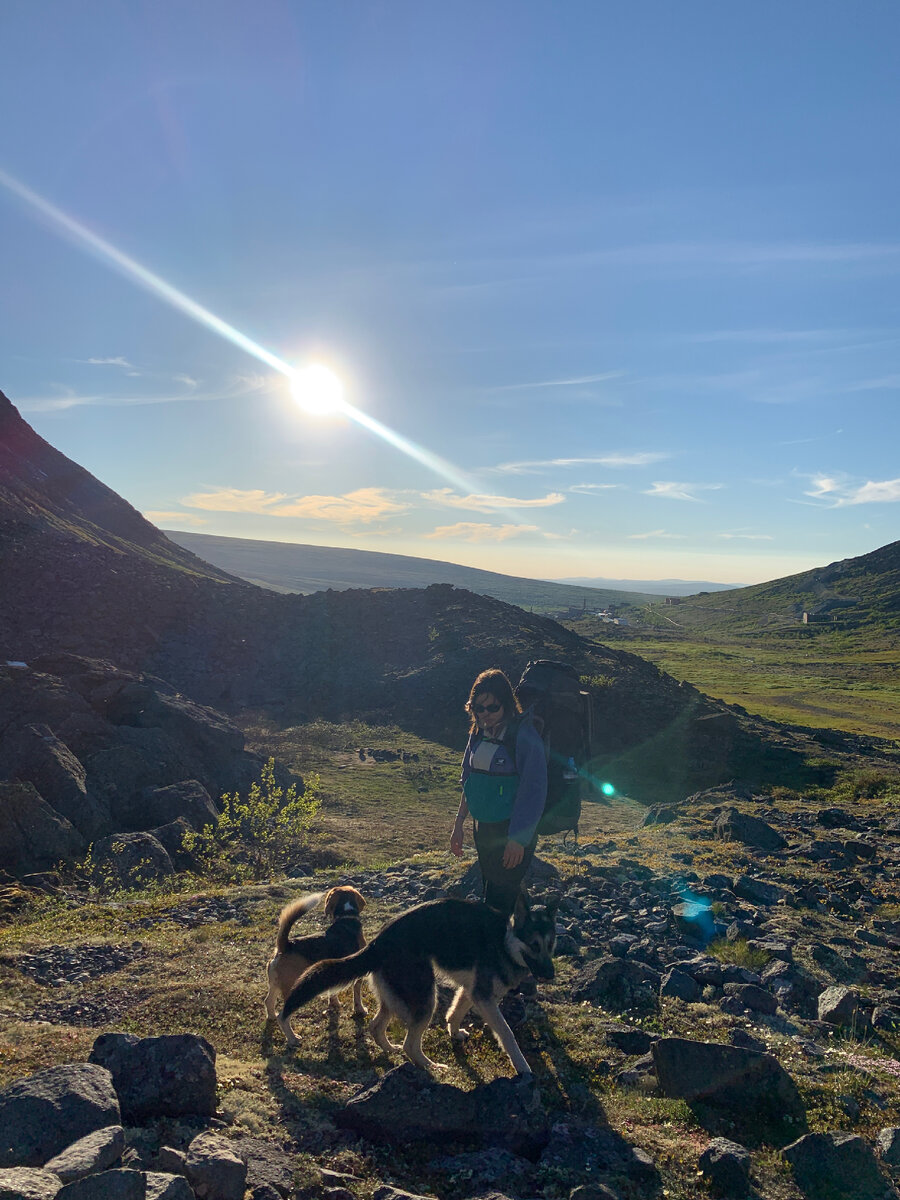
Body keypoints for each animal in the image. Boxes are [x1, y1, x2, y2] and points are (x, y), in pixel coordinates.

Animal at [266, 888, 367, 1017]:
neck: (346, 917)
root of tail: (286, 945)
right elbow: (357, 994)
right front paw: (361, 1010)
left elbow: (332, 994)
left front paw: (335, 1005)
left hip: (274, 984)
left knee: (268, 1002)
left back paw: (272, 1017)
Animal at [277, 892, 556, 1080]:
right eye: (534, 945)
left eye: (551, 945)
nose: (551, 974)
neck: (504, 940)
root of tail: (379, 942)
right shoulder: (484, 997)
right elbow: (507, 1035)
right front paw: (523, 1068)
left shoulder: (472, 991)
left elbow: (455, 1011)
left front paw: (454, 1032)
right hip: (425, 996)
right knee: (411, 1044)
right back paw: (431, 1066)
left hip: (395, 996)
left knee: (376, 1027)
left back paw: (391, 1049)